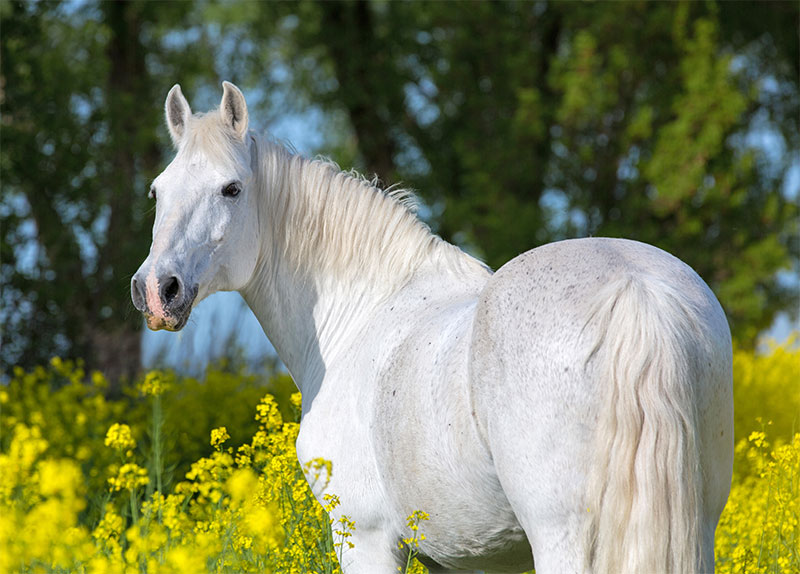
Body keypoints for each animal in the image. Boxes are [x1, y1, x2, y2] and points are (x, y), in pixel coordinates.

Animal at [131, 82, 733, 574]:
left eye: (232, 189)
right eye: (157, 191)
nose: (157, 291)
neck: (361, 313)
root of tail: (636, 290)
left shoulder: (366, 542)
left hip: (565, 540)